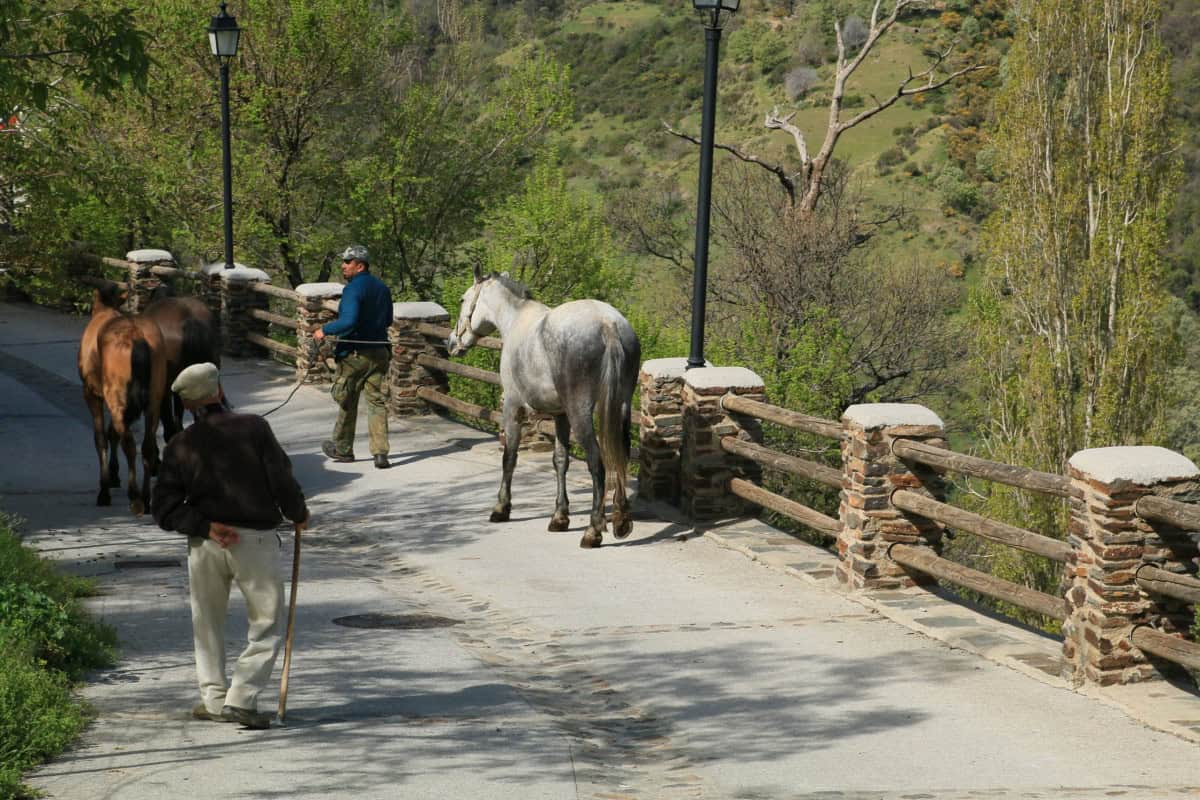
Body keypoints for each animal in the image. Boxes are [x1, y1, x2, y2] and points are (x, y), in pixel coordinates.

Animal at [78, 284, 168, 515]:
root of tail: (137, 338)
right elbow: (112, 433)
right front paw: (113, 474)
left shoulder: (91, 392)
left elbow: (101, 437)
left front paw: (105, 488)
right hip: (154, 398)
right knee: (147, 445)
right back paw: (146, 497)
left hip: (116, 394)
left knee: (129, 442)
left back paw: (135, 497)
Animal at [448, 271, 638, 551]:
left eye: (462, 299)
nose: (452, 342)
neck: (515, 319)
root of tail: (607, 324)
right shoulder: (560, 415)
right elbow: (560, 460)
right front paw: (560, 516)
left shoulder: (512, 407)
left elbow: (509, 458)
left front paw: (501, 508)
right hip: (621, 406)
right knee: (621, 456)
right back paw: (621, 522)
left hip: (581, 413)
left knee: (597, 463)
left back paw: (593, 530)